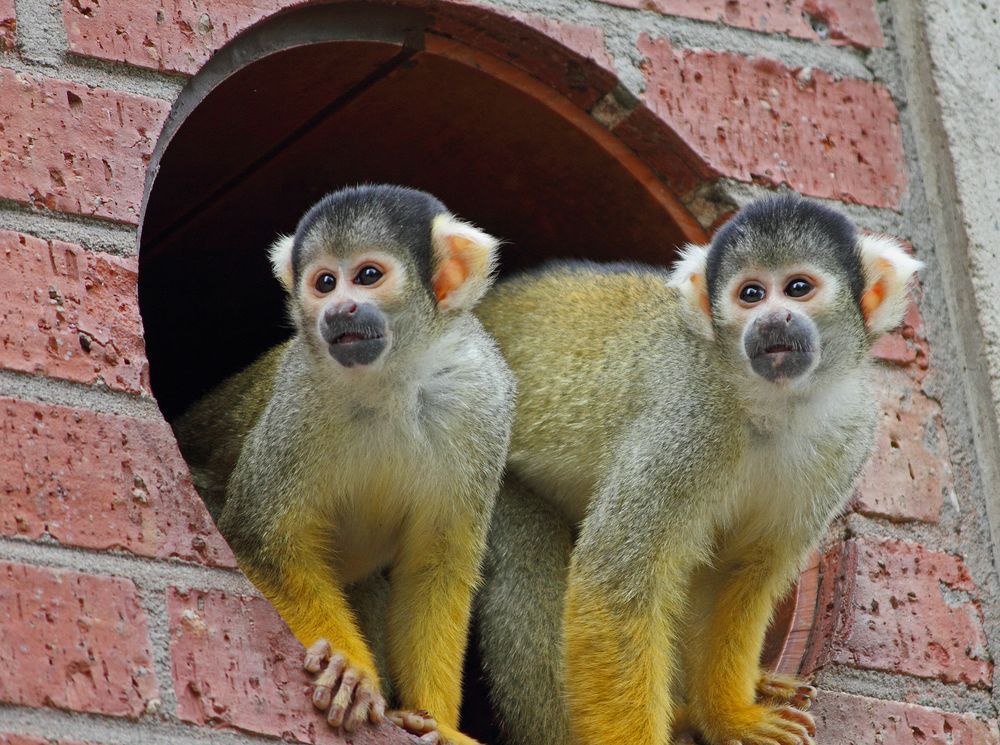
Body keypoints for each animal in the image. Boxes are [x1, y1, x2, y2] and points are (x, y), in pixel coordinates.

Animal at [174, 182, 516, 744]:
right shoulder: (300, 394)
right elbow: (262, 537)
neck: (390, 379)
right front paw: (349, 671)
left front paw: (438, 724)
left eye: (368, 276)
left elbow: (434, 564)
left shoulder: (480, 399)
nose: (338, 310)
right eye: (325, 283)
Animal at [474, 195, 920, 744]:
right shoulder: (689, 417)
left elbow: (741, 573)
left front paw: (730, 715)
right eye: (750, 294)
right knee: (527, 557)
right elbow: (617, 578)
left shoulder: (850, 437)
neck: (772, 404)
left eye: (798, 288)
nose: (772, 320)